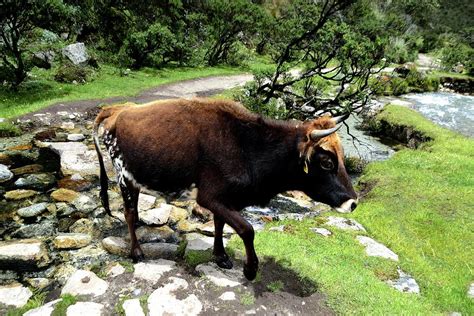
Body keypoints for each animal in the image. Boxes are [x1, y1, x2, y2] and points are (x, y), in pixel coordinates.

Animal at [94, 98, 358, 278]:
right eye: (327, 162)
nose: (353, 202)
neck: (248, 147)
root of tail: (118, 109)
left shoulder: (225, 199)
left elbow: (220, 224)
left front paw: (220, 256)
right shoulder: (209, 197)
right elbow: (247, 229)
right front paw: (250, 269)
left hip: (136, 179)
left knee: (134, 211)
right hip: (123, 177)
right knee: (129, 213)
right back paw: (136, 251)